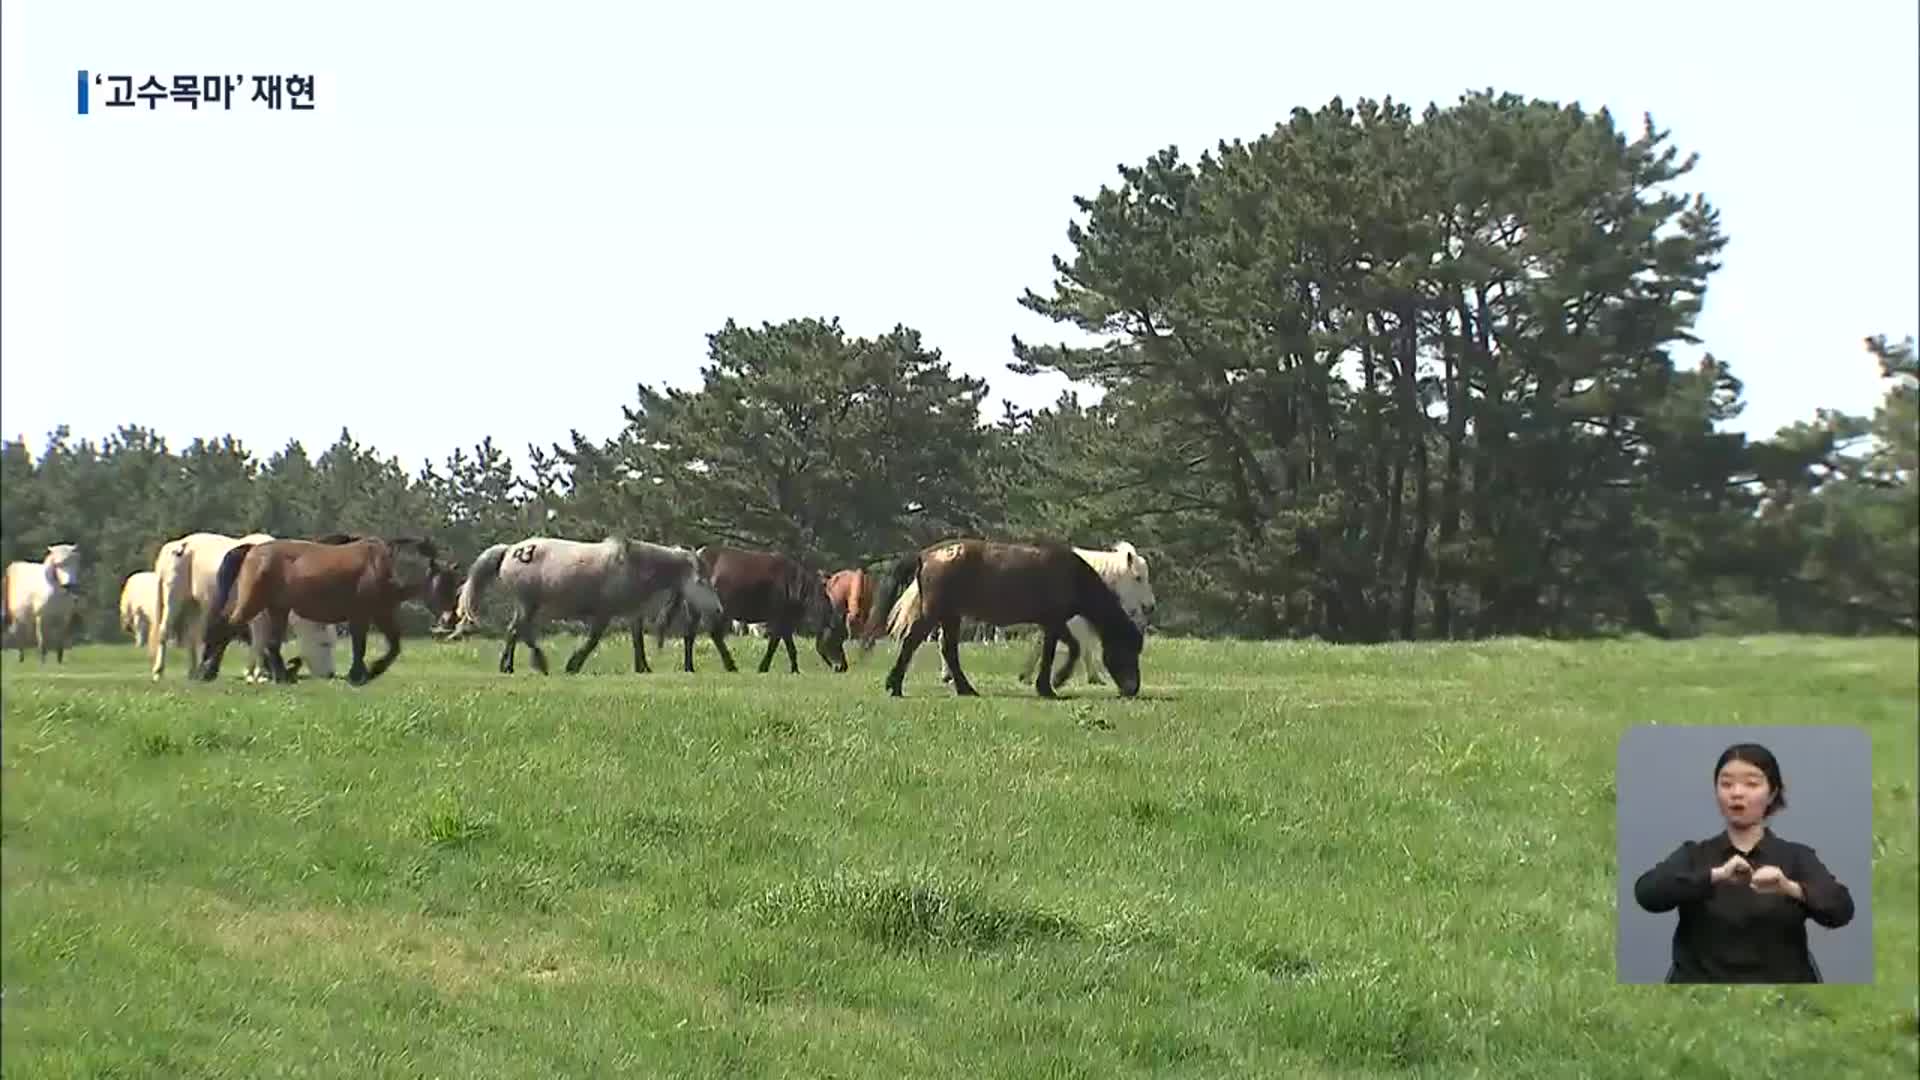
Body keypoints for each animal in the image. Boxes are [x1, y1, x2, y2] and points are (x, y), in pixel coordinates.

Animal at [149, 530, 337, 680]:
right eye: (325, 643)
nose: (330, 674)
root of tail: (177, 545)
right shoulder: (257, 615)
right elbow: (259, 640)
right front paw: (258, 673)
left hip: (194, 604)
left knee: (191, 637)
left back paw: (193, 671)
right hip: (174, 598)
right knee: (164, 632)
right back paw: (159, 671)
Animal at [200, 534, 443, 684]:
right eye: (444, 581)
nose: (445, 622)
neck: (382, 564)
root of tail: (253, 550)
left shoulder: (380, 613)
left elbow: (393, 646)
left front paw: (371, 671)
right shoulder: (361, 615)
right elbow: (361, 646)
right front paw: (360, 674)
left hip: (277, 608)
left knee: (270, 643)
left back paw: (282, 675)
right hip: (253, 603)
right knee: (228, 628)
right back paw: (208, 671)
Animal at [449, 530, 733, 672]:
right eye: (701, 581)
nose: (718, 609)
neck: (631, 563)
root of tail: (510, 550)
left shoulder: (632, 612)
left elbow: (637, 639)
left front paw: (643, 668)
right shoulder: (604, 612)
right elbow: (594, 639)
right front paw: (573, 664)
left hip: (528, 604)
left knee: (516, 631)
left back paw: (512, 665)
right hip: (528, 602)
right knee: (520, 631)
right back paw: (535, 664)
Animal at [695, 541, 837, 668]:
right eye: (835, 638)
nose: (839, 667)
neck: (796, 587)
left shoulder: (786, 621)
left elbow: (790, 648)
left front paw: (795, 670)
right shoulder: (779, 619)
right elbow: (773, 645)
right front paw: (763, 667)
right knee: (715, 635)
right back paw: (731, 666)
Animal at [856, 538, 1136, 699]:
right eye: (1127, 650)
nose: (1132, 689)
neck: (1073, 575)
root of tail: (924, 555)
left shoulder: (1051, 622)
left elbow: (1066, 649)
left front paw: (1050, 683)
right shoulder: (1054, 622)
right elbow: (1060, 651)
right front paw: (1051, 684)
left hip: (950, 615)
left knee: (948, 651)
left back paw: (965, 689)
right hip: (935, 613)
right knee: (912, 643)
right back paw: (895, 686)